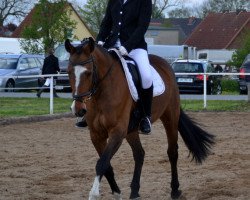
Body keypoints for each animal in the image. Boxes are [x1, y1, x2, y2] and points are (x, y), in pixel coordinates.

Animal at [65, 38, 215, 200]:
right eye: (68, 72)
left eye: (89, 73)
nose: (78, 109)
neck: (102, 91)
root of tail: (166, 65)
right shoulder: (96, 135)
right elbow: (107, 165)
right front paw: (117, 193)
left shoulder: (117, 132)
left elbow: (102, 163)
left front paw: (94, 194)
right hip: (132, 129)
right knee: (139, 154)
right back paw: (135, 191)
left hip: (170, 117)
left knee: (172, 152)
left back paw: (175, 190)